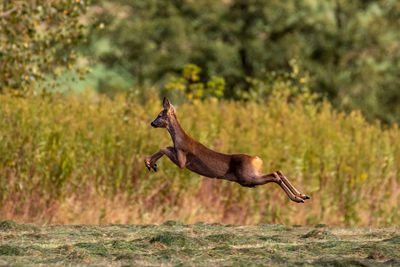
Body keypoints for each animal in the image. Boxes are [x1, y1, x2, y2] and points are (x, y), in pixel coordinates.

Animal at [144, 97, 310, 204]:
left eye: (160, 115)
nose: (152, 123)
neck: (179, 139)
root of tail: (257, 159)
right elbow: (165, 147)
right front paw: (151, 164)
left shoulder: (182, 160)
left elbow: (164, 147)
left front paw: (150, 163)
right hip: (251, 176)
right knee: (278, 171)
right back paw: (302, 195)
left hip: (247, 178)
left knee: (275, 175)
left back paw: (298, 198)